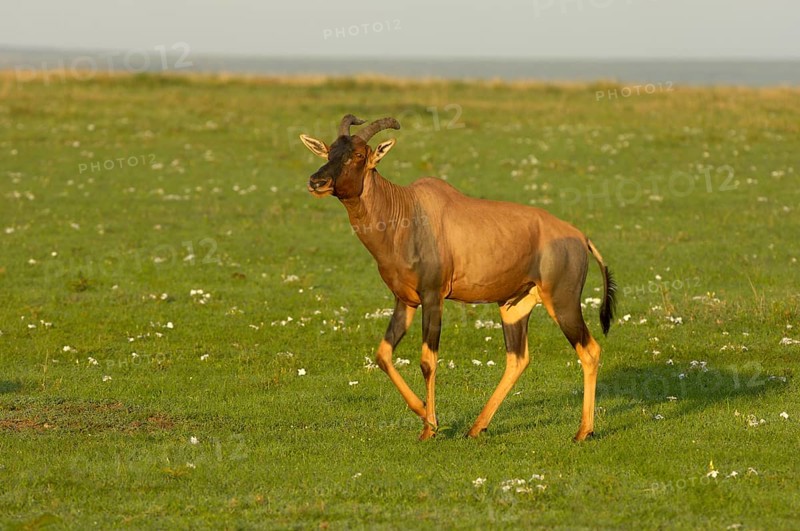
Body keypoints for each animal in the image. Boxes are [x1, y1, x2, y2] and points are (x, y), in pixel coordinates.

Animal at [300, 115, 616, 441]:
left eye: (360, 155)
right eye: (329, 151)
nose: (317, 182)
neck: (407, 210)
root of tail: (581, 237)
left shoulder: (433, 297)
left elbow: (427, 361)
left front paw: (430, 428)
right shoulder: (404, 301)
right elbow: (383, 355)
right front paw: (422, 410)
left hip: (564, 303)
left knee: (590, 350)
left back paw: (583, 432)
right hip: (514, 307)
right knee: (517, 359)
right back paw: (476, 428)